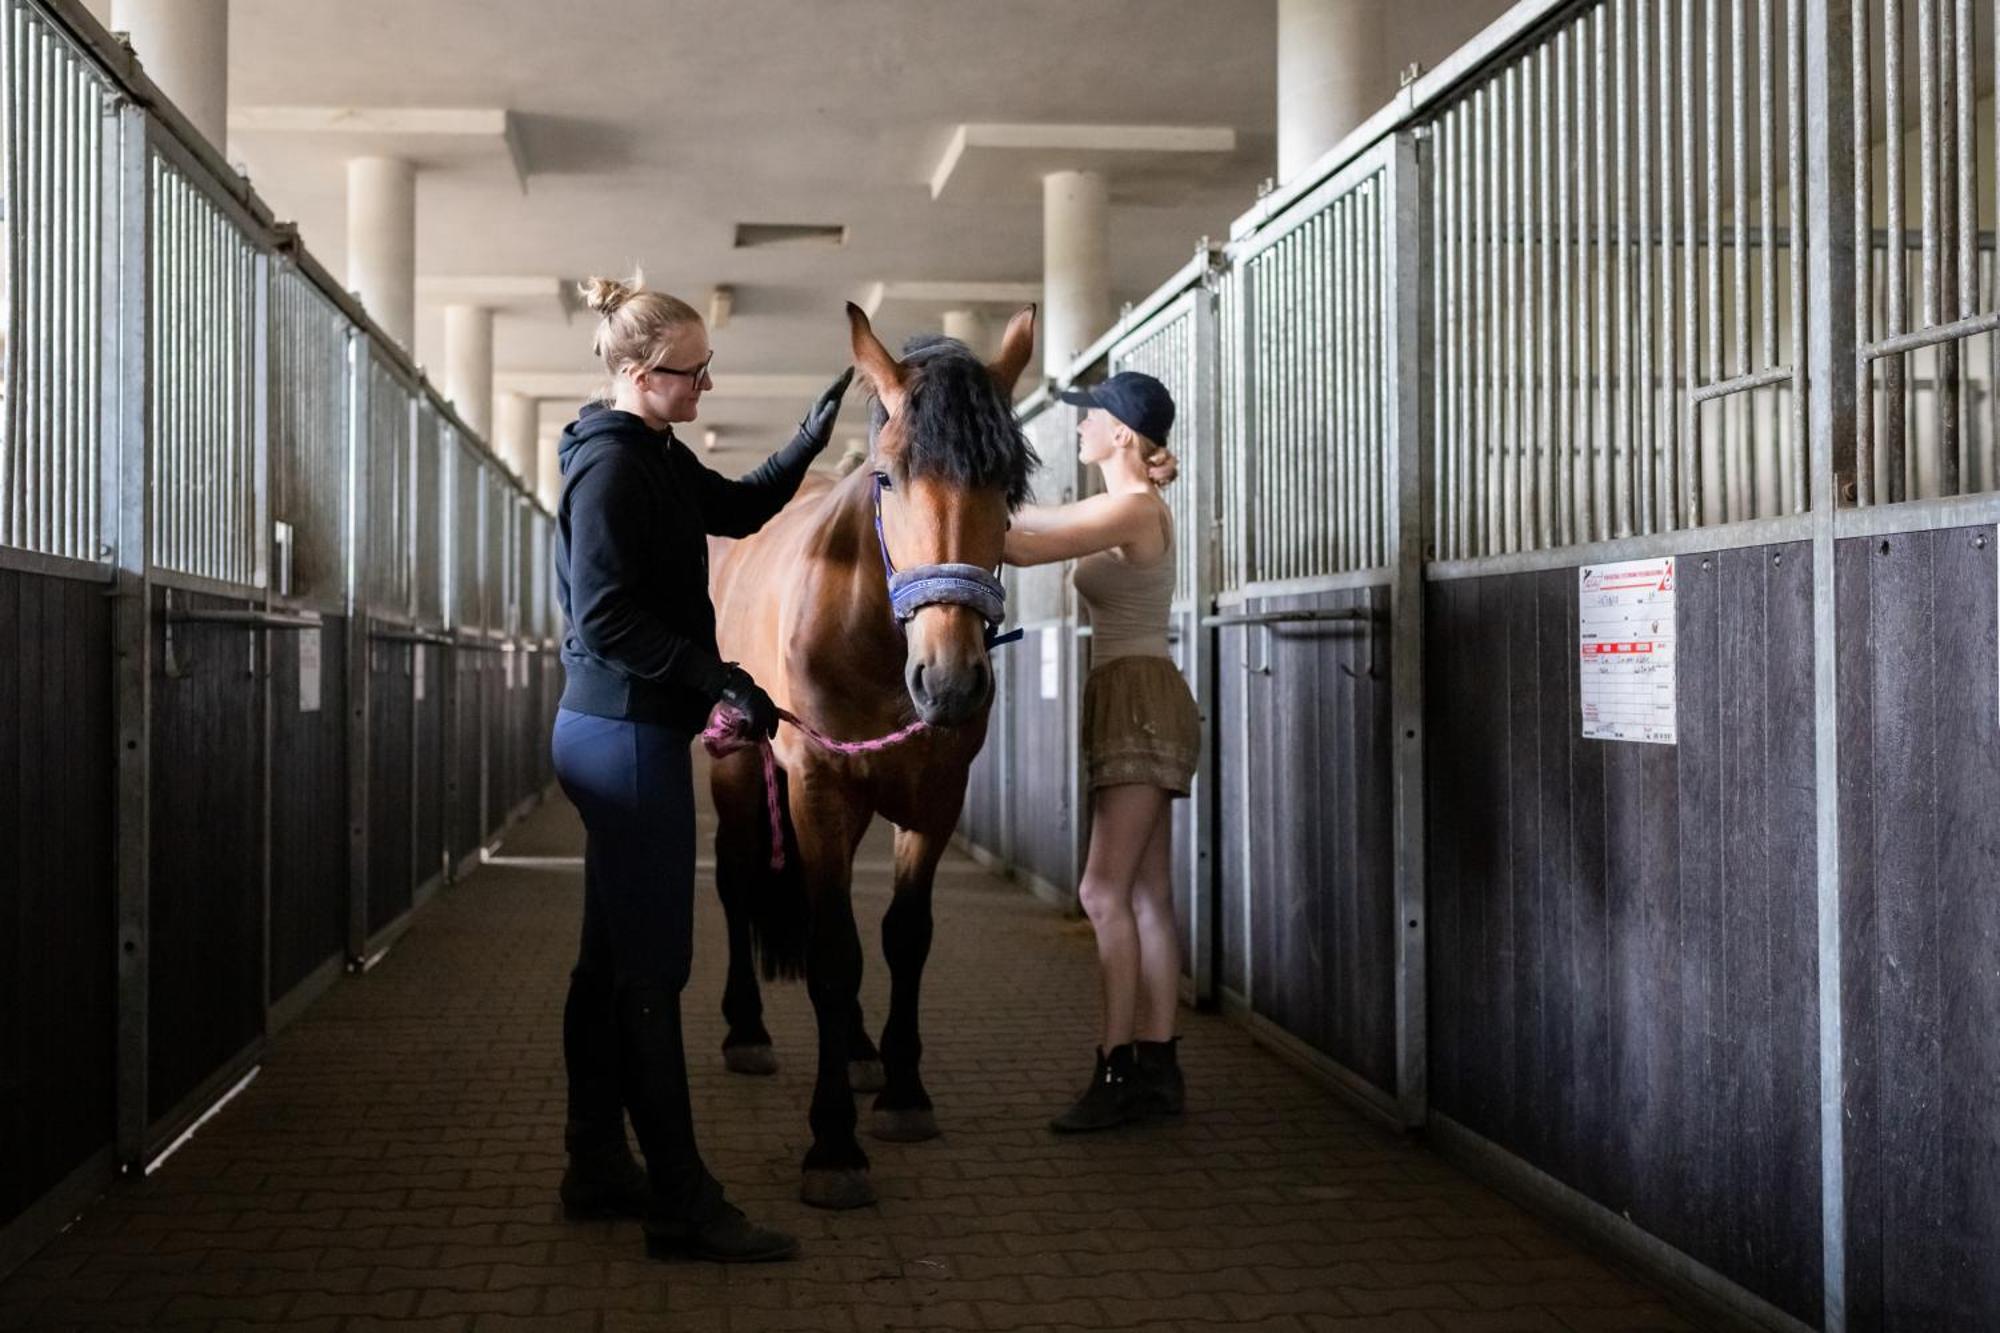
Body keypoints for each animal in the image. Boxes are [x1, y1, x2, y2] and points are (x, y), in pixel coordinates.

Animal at [704, 300, 1040, 1200]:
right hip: (736, 769)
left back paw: (856, 1051)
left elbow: (900, 936)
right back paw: (747, 1031)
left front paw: (902, 1090)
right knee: (739, 879)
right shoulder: (819, 787)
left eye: (1010, 484)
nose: (950, 681)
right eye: (888, 479)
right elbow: (830, 952)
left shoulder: (936, 797)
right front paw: (833, 1144)